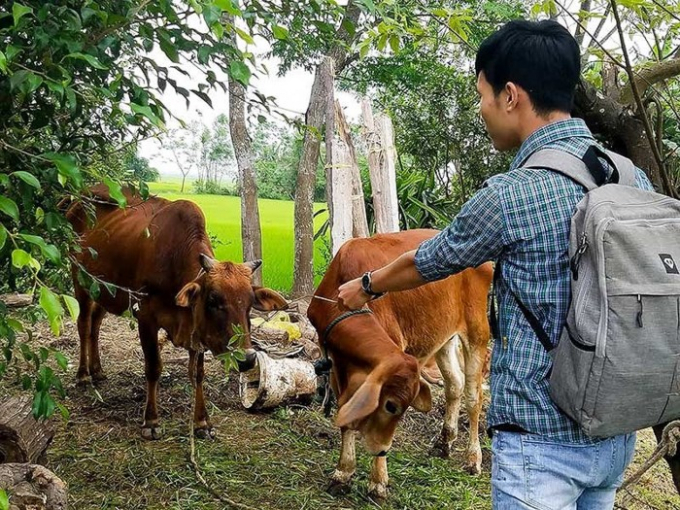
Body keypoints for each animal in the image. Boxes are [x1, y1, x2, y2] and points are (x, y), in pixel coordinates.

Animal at [65, 185, 284, 440]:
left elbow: (198, 373)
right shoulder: (146, 319)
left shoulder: (197, 331)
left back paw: (98, 370)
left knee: (95, 325)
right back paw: (84, 375)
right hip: (79, 280)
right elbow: (153, 368)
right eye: (213, 300)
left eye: (249, 304)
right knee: (83, 325)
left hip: (103, 291)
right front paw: (151, 421)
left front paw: (202, 422)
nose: (247, 359)